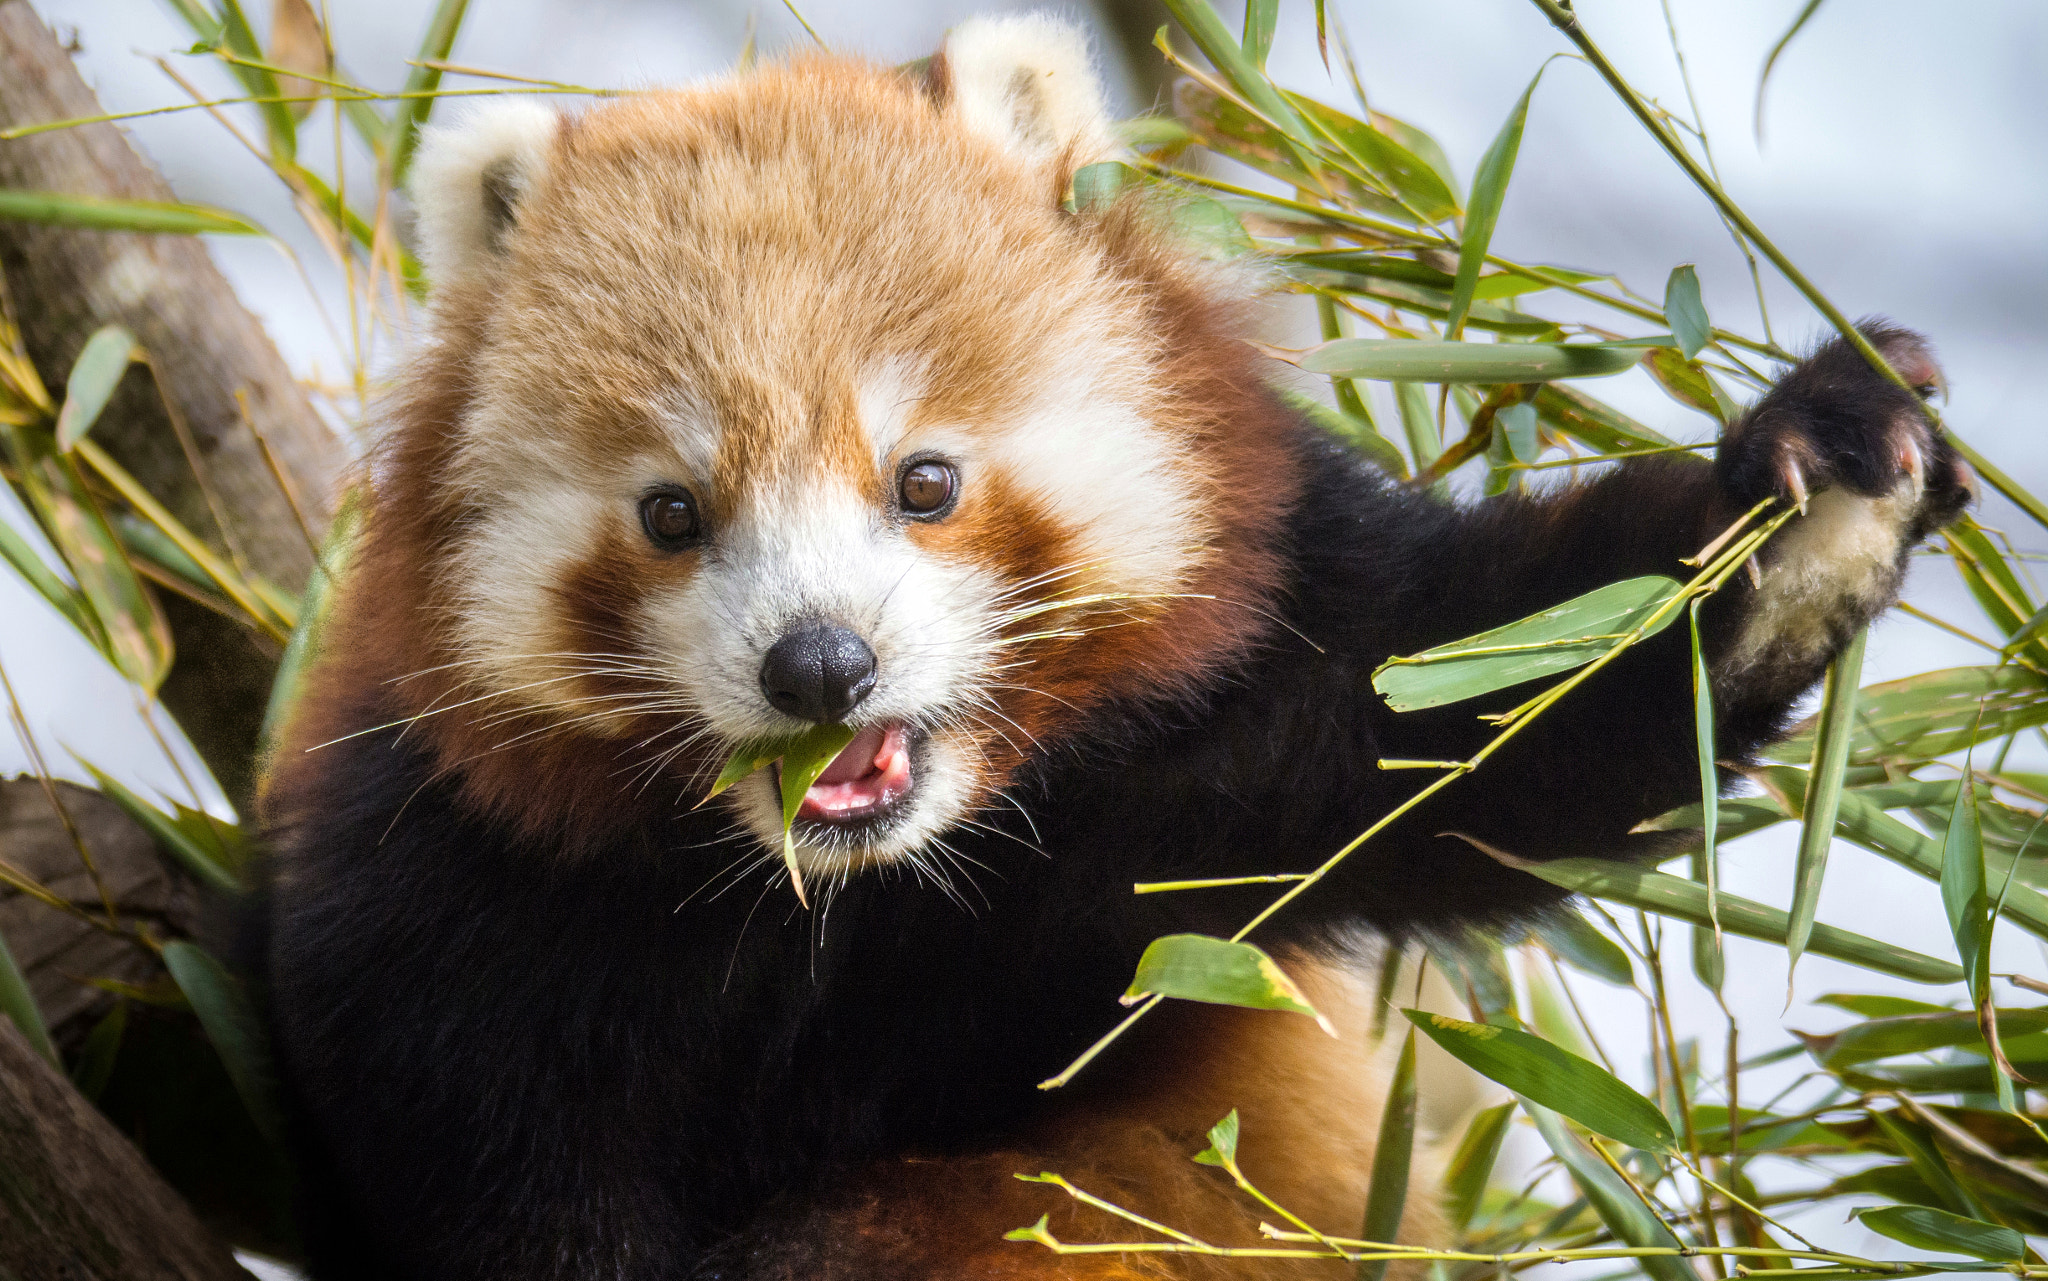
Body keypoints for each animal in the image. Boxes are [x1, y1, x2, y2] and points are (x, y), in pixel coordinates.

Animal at [257, 14, 1972, 1280]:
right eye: (673, 513)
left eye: (925, 482)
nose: (820, 667)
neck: (861, 896)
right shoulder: (462, 894)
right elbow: (492, 1163)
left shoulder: (1237, 729)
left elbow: (1509, 708)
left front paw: (1811, 492)